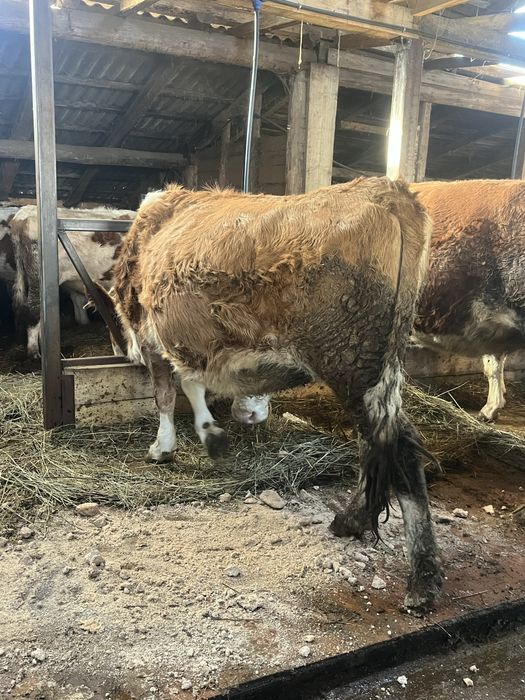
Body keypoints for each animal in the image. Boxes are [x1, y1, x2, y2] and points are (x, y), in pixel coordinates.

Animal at [95, 178, 443, 611]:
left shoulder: (152, 336)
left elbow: (168, 394)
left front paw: (168, 446)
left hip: (351, 360)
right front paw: (212, 432)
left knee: (395, 444)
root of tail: (388, 190)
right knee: (383, 443)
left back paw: (414, 573)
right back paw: (373, 537)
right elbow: (193, 383)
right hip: (383, 362)